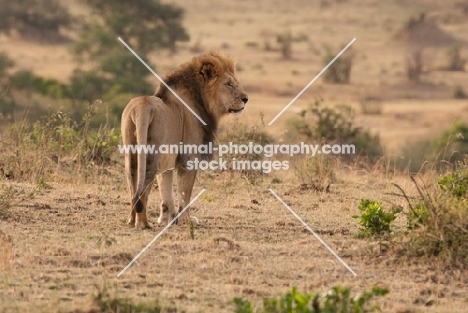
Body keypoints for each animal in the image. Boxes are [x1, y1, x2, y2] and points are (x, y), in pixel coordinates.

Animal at [120, 50, 249, 227]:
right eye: (228, 84)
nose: (245, 99)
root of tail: (142, 107)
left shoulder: (167, 163)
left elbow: (166, 192)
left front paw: (166, 220)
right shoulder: (188, 158)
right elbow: (185, 191)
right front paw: (186, 220)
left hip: (131, 154)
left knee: (133, 184)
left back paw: (131, 220)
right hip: (151, 155)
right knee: (144, 187)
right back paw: (143, 224)